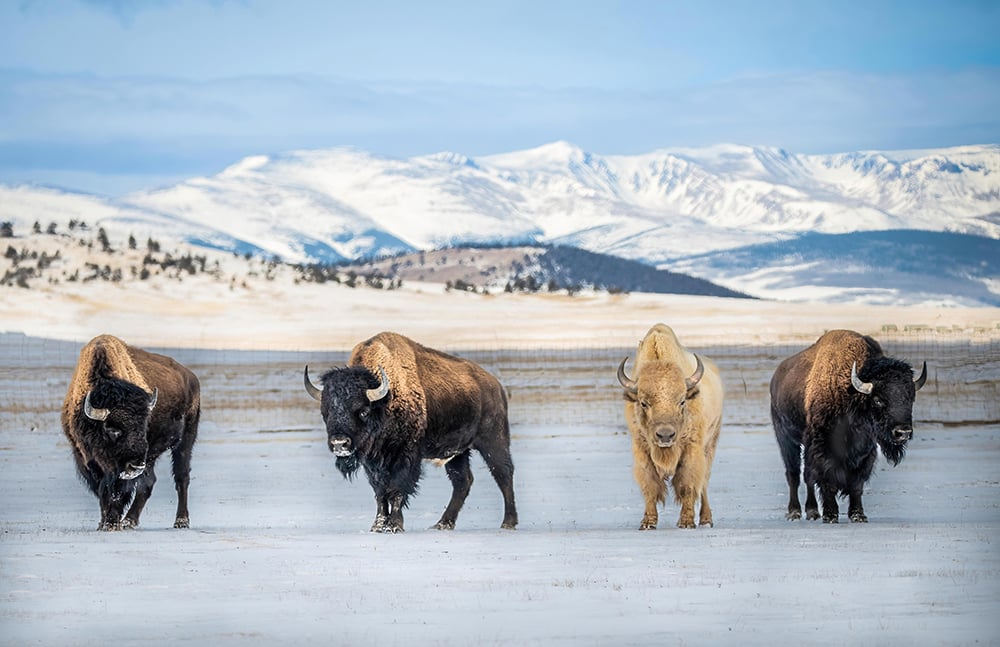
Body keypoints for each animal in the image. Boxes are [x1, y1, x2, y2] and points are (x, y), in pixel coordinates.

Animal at [61, 334, 200, 530]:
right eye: (112, 429)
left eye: (144, 425)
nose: (135, 466)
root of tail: (191, 377)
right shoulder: (86, 459)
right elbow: (102, 490)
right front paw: (104, 523)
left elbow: (117, 491)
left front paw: (112, 522)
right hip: (151, 458)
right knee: (148, 482)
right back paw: (130, 521)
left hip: (185, 440)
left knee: (182, 477)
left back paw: (181, 521)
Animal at [304, 331, 517, 532]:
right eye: (326, 413)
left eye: (363, 411)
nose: (339, 443)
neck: (384, 401)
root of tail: (496, 386)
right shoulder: (373, 462)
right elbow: (380, 492)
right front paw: (377, 526)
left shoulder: (406, 455)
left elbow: (397, 488)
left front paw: (394, 526)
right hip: (458, 453)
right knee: (462, 481)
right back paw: (442, 524)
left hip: (493, 442)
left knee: (503, 474)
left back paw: (508, 522)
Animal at [617, 324, 724, 530]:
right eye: (643, 403)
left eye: (682, 401)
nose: (665, 436)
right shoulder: (641, 449)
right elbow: (650, 484)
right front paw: (647, 523)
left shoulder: (692, 449)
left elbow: (688, 484)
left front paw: (687, 522)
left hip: (711, 443)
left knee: (704, 482)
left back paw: (706, 520)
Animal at [770, 329, 927, 523]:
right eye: (877, 400)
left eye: (911, 398)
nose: (903, 432)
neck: (851, 396)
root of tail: (776, 378)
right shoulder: (823, 447)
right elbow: (827, 480)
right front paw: (830, 515)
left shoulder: (865, 451)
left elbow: (856, 484)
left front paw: (858, 515)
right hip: (786, 438)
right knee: (794, 475)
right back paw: (795, 512)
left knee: (807, 476)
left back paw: (812, 511)